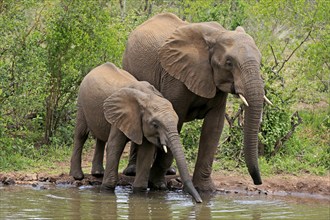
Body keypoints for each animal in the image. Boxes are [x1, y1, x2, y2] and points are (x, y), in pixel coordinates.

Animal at [69, 62, 201, 203]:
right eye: (155, 124)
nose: (199, 201)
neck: (147, 98)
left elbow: (146, 152)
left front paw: (139, 192)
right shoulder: (120, 115)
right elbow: (115, 147)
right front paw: (107, 190)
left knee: (101, 137)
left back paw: (98, 174)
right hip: (81, 103)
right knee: (81, 134)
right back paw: (77, 176)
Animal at [122, 12, 270, 191]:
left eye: (261, 62)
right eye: (229, 63)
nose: (258, 182)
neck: (218, 35)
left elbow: (214, 127)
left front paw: (206, 190)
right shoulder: (174, 77)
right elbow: (175, 121)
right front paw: (157, 184)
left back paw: (170, 171)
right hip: (129, 66)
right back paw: (132, 171)